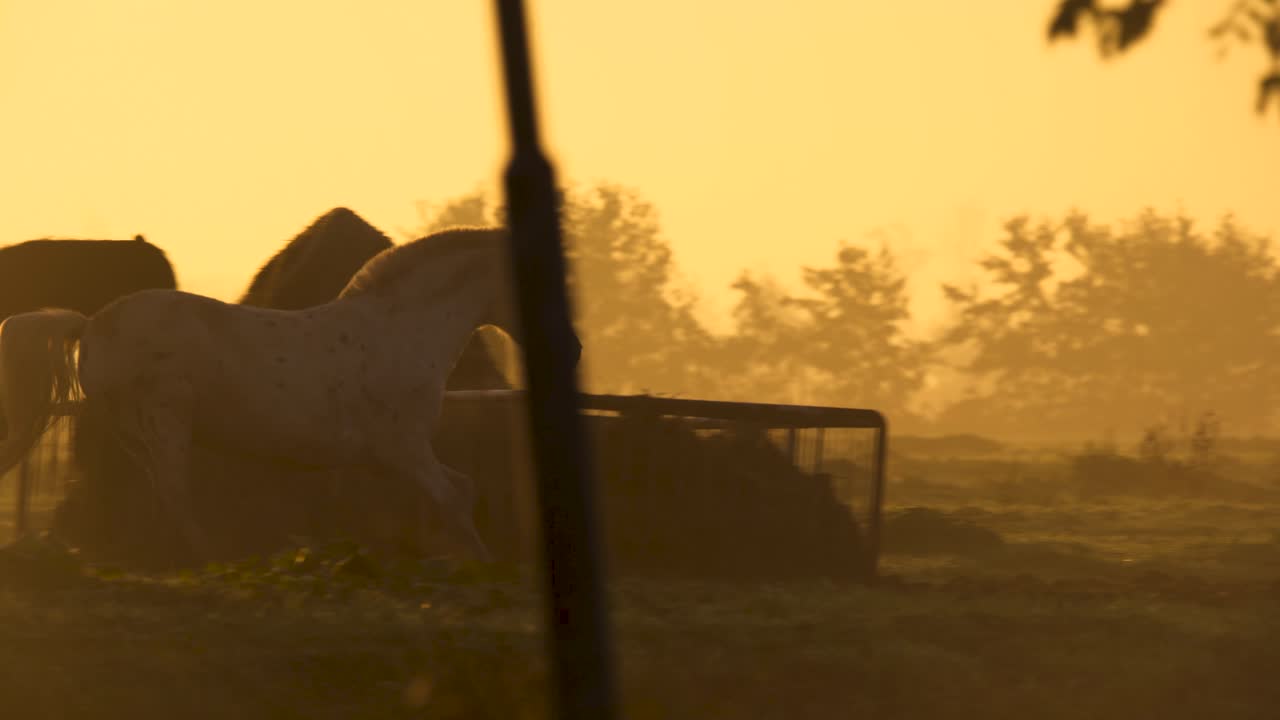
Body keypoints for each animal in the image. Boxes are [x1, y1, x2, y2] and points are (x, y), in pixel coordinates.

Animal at [0, 227, 578, 562]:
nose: (572, 349)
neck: (401, 332)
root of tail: (92, 323)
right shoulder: (403, 448)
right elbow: (453, 497)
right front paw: (485, 567)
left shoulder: (388, 459)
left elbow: (456, 492)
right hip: (165, 425)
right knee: (174, 496)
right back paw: (213, 564)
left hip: (135, 435)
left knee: (154, 498)